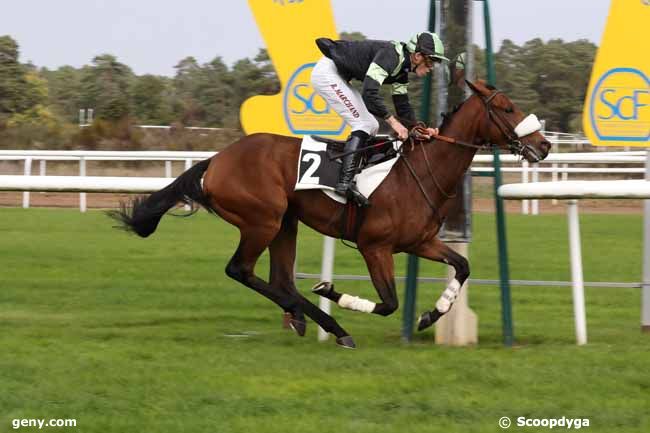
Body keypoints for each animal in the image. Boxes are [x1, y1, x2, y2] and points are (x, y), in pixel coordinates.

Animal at [110, 80, 548, 348]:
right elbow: (388, 303)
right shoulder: (374, 246)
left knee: (281, 279)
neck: (419, 173)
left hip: (284, 223)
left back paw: (305, 319)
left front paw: (431, 314)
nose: (543, 146)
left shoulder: (420, 241)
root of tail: (216, 160)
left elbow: (461, 266)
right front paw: (332, 292)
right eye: (507, 107)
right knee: (242, 271)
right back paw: (331, 325)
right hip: (262, 220)